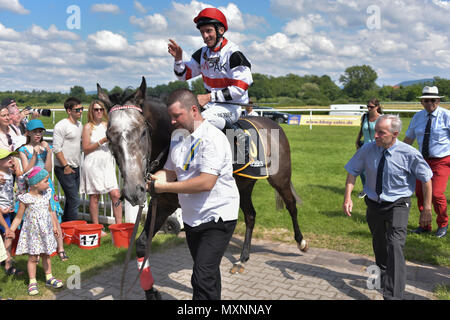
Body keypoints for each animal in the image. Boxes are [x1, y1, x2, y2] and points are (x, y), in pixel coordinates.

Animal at [98, 77, 308, 296]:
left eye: (142, 132)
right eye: (109, 136)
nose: (133, 191)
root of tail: (272, 123)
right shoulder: (162, 203)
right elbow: (141, 244)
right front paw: (151, 291)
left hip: (280, 178)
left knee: (291, 205)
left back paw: (301, 242)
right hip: (244, 186)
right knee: (251, 215)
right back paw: (242, 259)